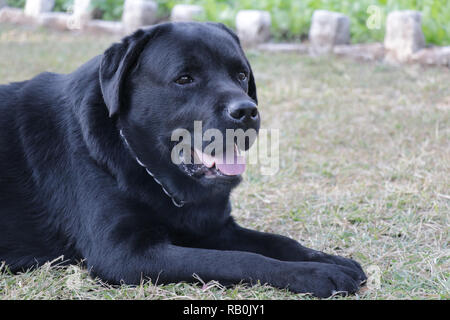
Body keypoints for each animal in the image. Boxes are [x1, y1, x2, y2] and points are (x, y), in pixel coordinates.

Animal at [0, 22, 366, 298]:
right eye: (185, 78)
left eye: (241, 75)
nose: (246, 111)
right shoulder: (124, 254)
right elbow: (240, 260)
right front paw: (316, 273)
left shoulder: (215, 227)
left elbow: (277, 241)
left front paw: (328, 259)